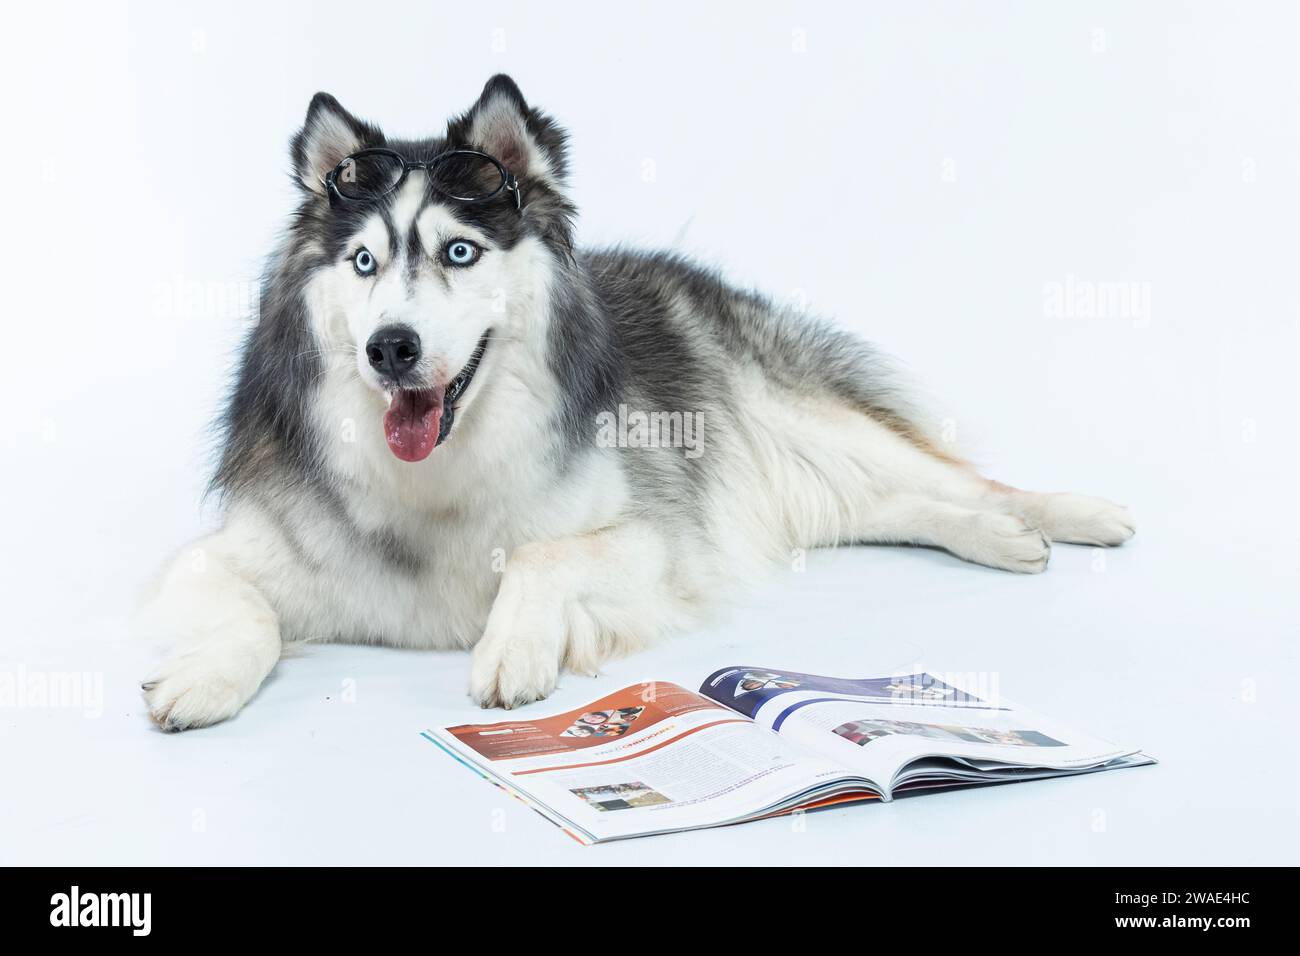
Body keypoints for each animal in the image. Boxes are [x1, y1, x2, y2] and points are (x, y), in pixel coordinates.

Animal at [142, 76, 1133, 733]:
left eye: (459, 252)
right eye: (363, 263)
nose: (392, 348)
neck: (443, 470)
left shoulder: (659, 535)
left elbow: (540, 556)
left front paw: (512, 647)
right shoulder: (221, 553)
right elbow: (239, 608)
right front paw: (202, 678)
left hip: (797, 426)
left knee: (957, 478)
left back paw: (1061, 515)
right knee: (893, 505)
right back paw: (1001, 537)